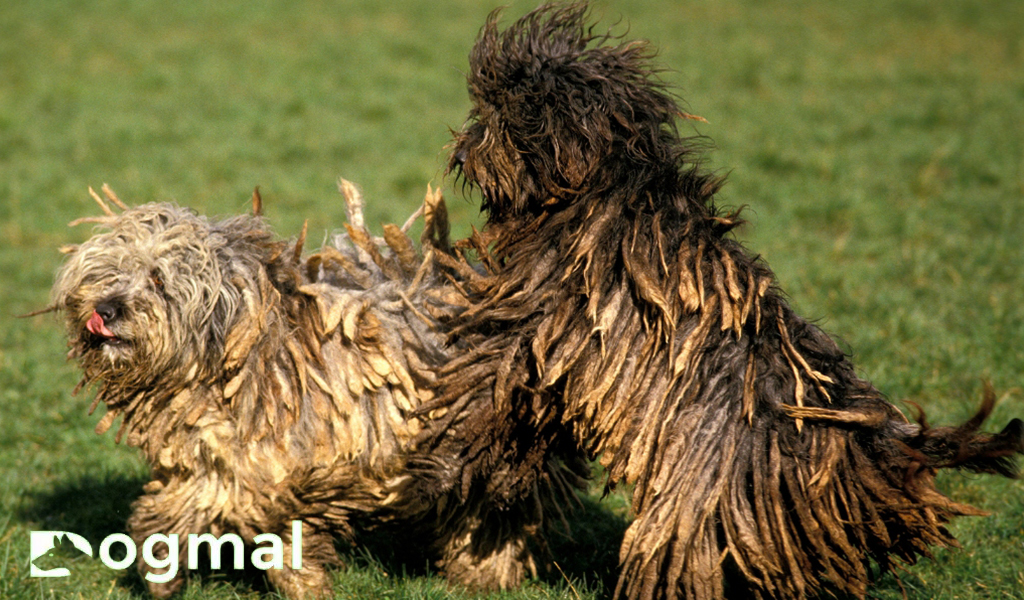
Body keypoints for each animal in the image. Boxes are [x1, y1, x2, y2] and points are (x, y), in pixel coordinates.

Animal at [417, 4, 1024, 597]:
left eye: (504, 113)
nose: (462, 154)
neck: (603, 185)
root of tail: (868, 444)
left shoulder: (541, 317)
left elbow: (485, 388)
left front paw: (443, 458)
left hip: (698, 501)